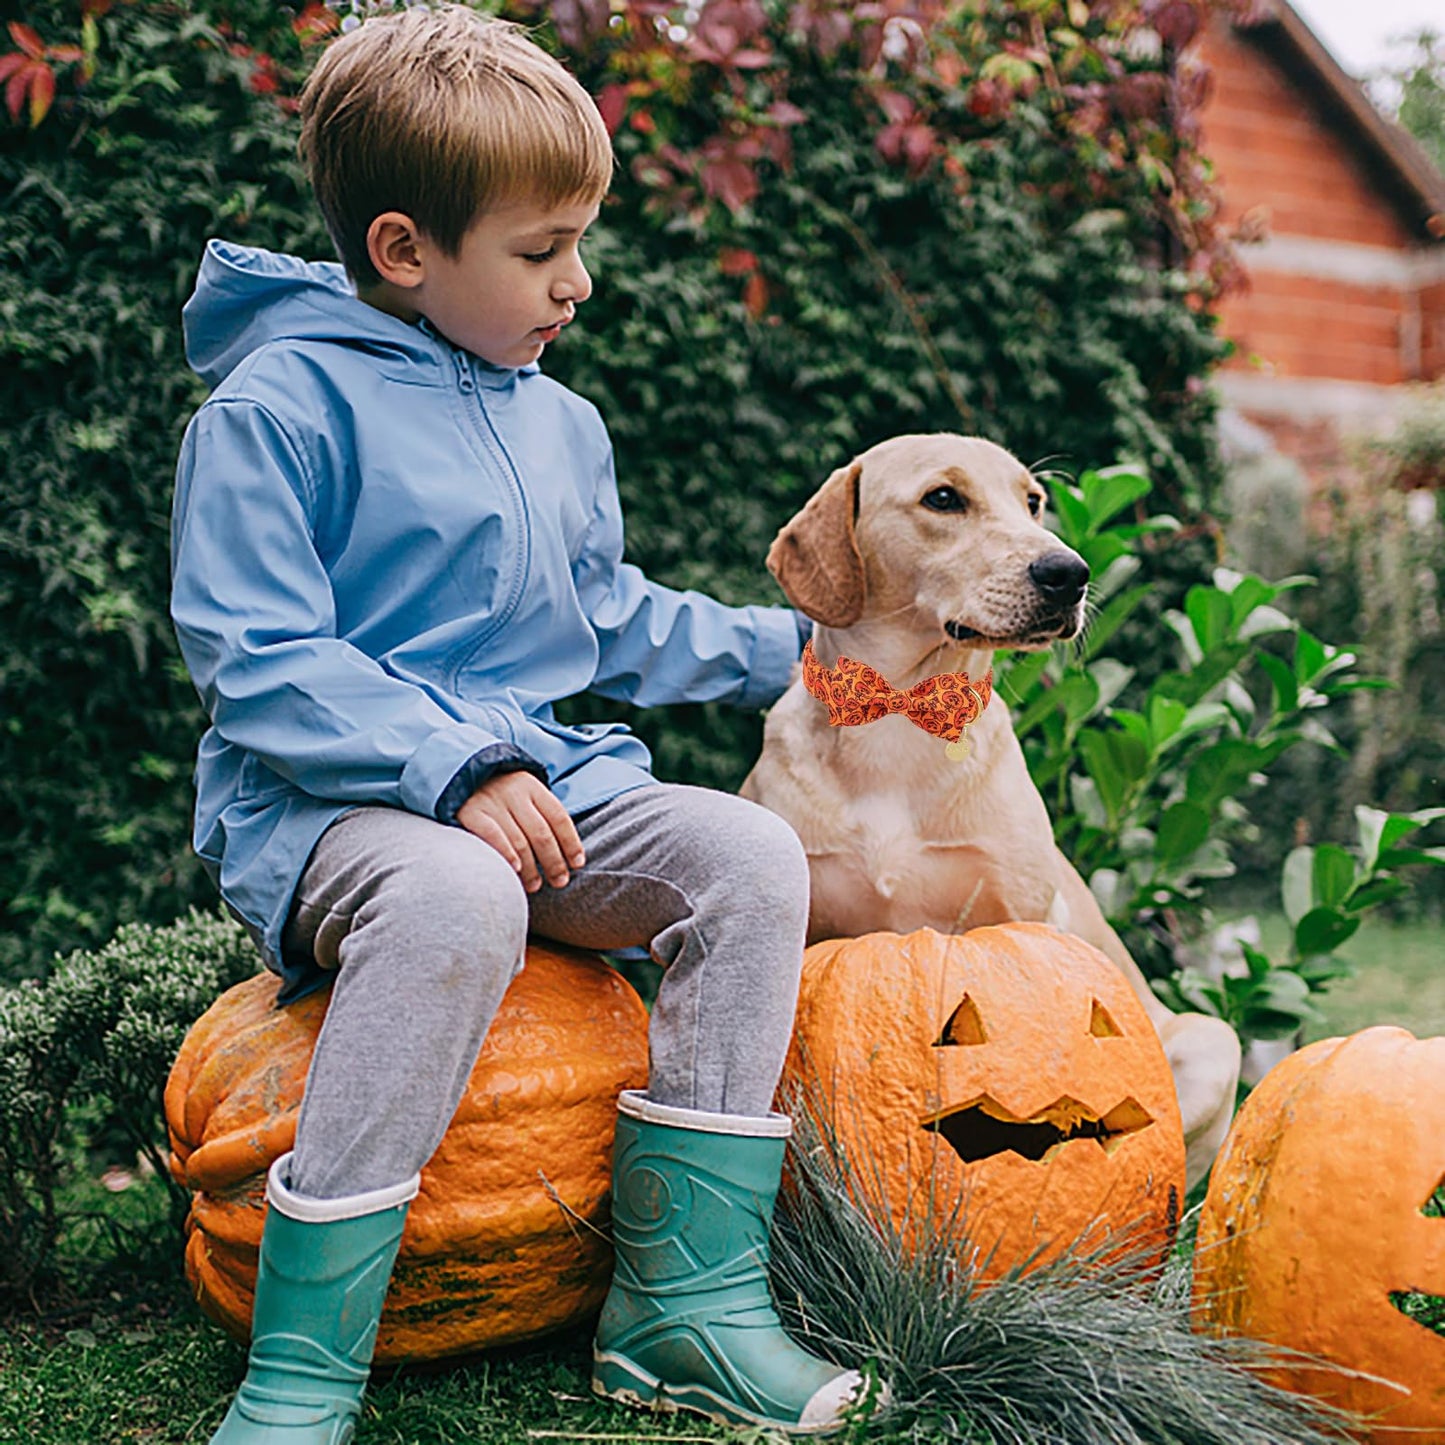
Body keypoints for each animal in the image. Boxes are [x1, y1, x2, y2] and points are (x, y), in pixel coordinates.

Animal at [745, 430, 1242, 1184]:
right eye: (943, 498)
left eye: (1033, 501)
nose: (1069, 573)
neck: (902, 712)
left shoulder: (1025, 917)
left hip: (1213, 1043)